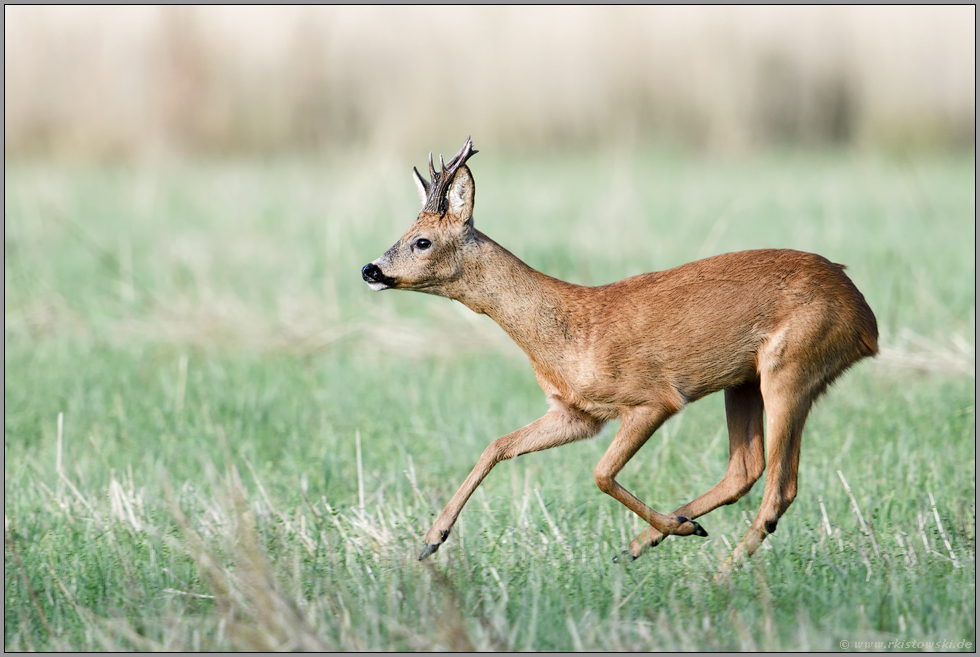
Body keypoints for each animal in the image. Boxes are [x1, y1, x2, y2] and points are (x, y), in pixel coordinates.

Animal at [362, 137, 880, 564]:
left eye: (422, 240)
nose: (370, 269)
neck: (566, 332)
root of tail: (867, 319)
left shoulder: (652, 399)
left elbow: (599, 474)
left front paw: (677, 529)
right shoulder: (577, 413)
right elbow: (498, 444)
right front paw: (432, 538)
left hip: (790, 365)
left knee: (780, 487)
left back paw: (717, 569)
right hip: (744, 381)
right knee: (745, 470)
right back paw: (656, 540)